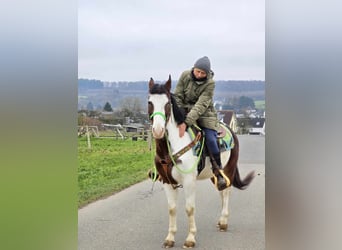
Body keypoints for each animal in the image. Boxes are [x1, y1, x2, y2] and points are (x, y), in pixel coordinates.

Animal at [148, 74, 255, 248]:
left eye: (167, 104)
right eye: (149, 102)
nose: (158, 130)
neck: (174, 145)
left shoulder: (189, 181)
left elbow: (189, 209)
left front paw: (190, 239)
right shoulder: (167, 181)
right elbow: (172, 209)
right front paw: (170, 238)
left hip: (229, 169)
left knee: (227, 191)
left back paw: (224, 222)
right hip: (215, 175)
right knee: (221, 189)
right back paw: (220, 220)